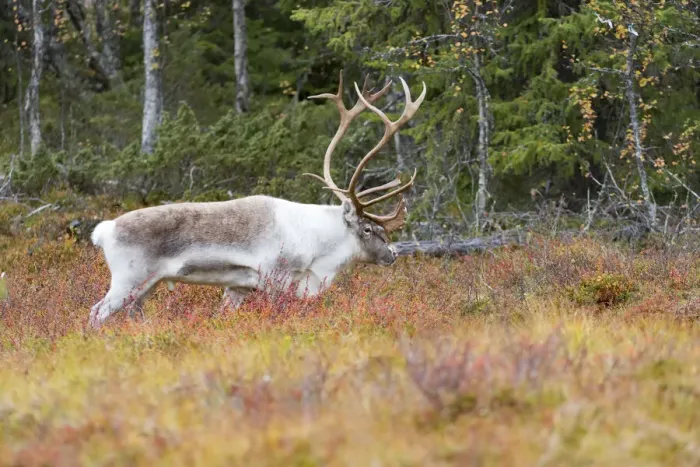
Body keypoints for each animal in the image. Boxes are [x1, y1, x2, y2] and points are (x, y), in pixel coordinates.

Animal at [88, 72, 426, 328]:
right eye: (368, 229)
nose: (393, 254)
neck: (319, 243)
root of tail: (105, 230)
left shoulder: (239, 286)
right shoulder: (276, 279)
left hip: (147, 286)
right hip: (128, 280)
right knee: (96, 313)